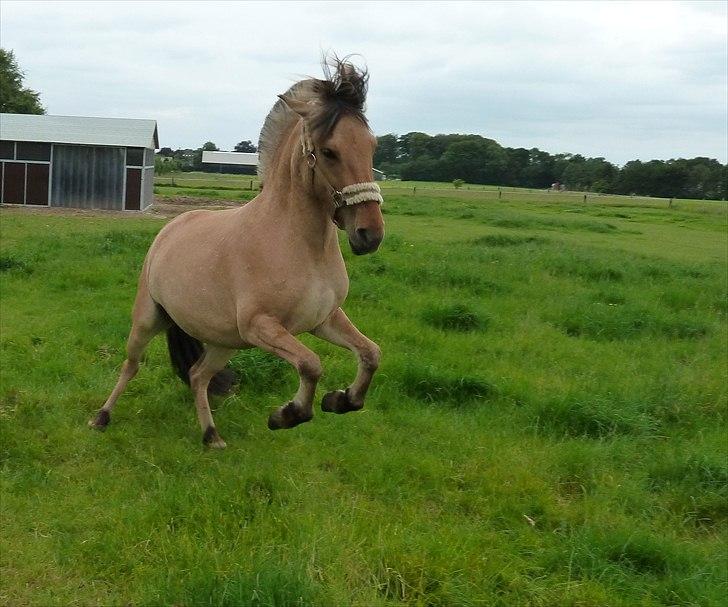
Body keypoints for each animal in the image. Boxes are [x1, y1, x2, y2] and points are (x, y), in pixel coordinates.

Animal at [89, 57, 386, 446]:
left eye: (372, 146)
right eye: (328, 151)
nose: (370, 234)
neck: (297, 244)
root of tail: (172, 227)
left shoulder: (324, 320)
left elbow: (370, 354)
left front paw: (341, 400)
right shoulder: (262, 326)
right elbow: (311, 364)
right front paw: (285, 415)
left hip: (222, 341)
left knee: (198, 375)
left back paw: (211, 436)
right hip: (148, 320)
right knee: (131, 366)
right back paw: (101, 417)